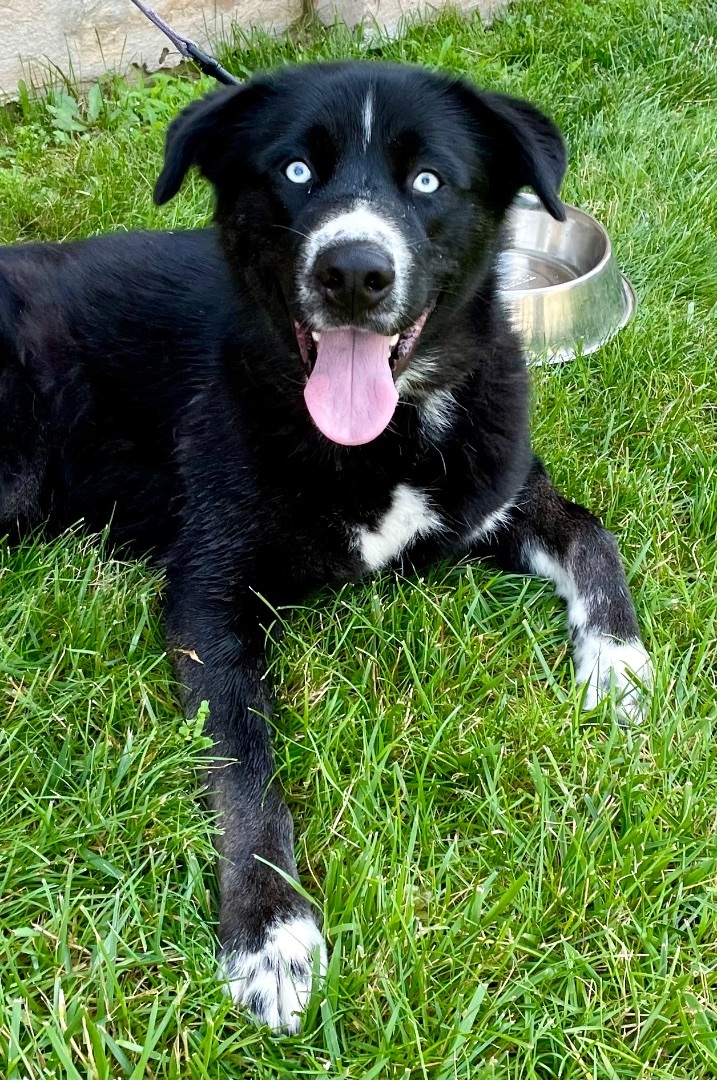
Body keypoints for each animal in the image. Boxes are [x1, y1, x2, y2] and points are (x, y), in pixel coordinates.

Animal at [0, 59, 647, 1028]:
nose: (353, 273)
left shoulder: (498, 493)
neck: (382, 439)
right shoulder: (209, 597)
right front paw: (269, 930)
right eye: (296, 171)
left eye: (428, 180)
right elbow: (243, 761)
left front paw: (618, 665)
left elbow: (590, 533)